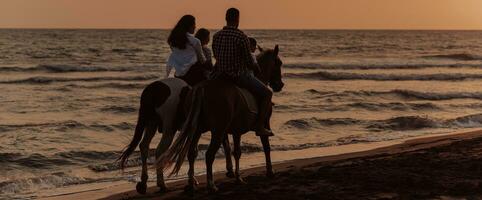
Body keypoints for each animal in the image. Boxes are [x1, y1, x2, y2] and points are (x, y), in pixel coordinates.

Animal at [160, 45, 284, 192]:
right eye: (279, 63)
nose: (280, 85)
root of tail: (201, 88)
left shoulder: (236, 130)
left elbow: (237, 152)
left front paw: (238, 178)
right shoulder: (264, 123)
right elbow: (266, 146)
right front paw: (270, 171)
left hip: (197, 130)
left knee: (191, 153)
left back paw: (191, 183)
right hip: (217, 130)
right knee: (209, 154)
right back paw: (211, 185)